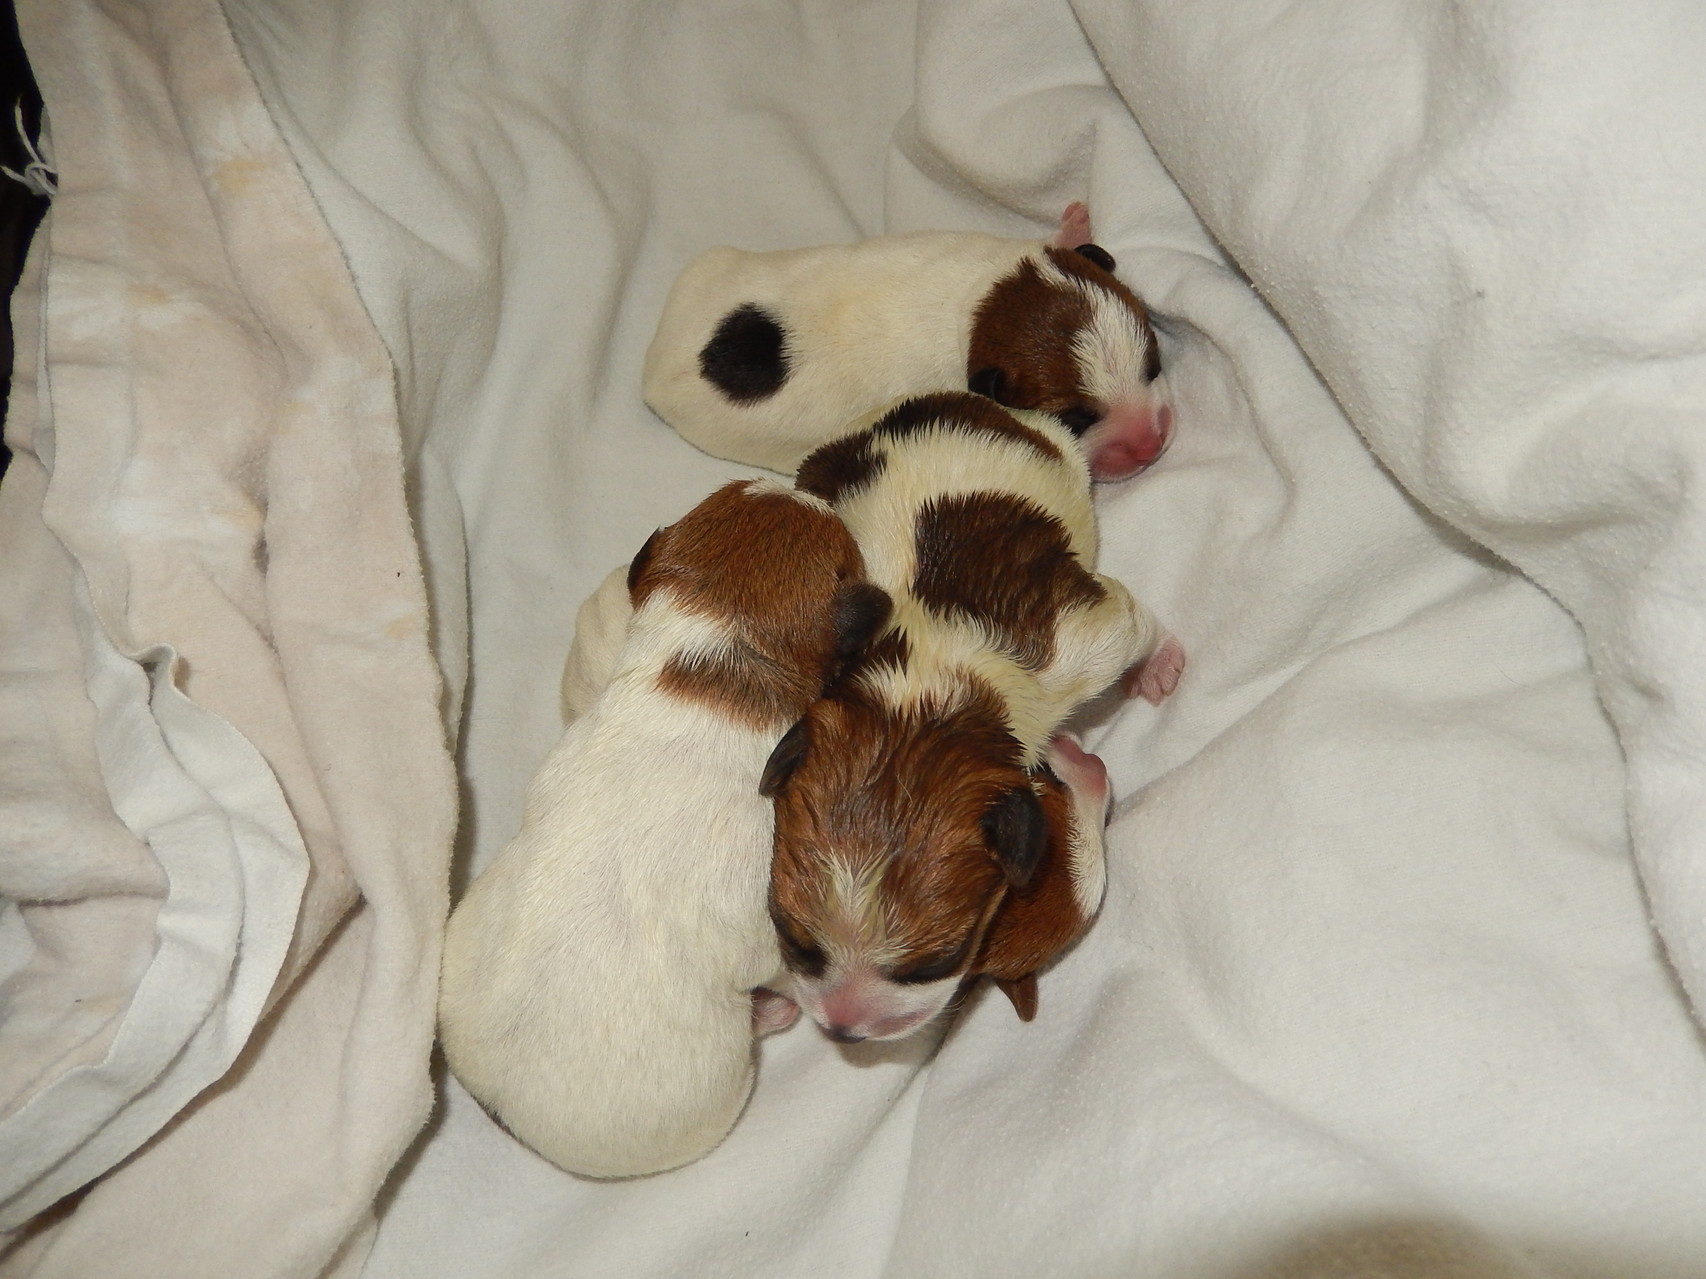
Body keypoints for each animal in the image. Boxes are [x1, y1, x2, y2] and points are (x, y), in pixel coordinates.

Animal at [643, 204, 1173, 483]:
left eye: (1153, 366)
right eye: (1076, 418)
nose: (1151, 446)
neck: (977, 303)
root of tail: (656, 364)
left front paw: (1072, 228)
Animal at [758, 392, 1184, 1043]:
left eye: (940, 962)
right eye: (793, 939)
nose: (844, 1031)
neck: (924, 689)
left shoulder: (1080, 642)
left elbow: (1129, 622)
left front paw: (1158, 665)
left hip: (1053, 449)